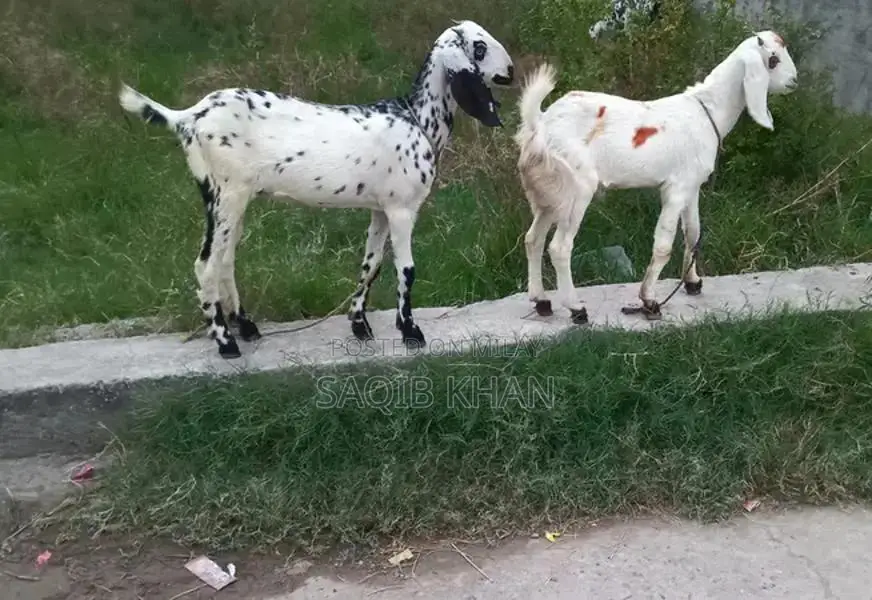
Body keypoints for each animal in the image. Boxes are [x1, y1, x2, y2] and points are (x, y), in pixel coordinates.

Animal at [118, 20, 514, 358]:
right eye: (479, 48)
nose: (510, 71)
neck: (416, 120)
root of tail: (188, 117)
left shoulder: (380, 208)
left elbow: (371, 263)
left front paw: (360, 324)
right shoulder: (403, 208)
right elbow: (406, 269)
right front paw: (411, 333)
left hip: (234, 201)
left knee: (225, 259)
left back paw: (246, 326)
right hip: (223, 196)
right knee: (206, 266)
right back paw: (226, 342)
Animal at [514, 31, 797, 322]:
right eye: (773, 59)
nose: (793, 81)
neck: (707, 111)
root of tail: (540, 124)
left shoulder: (691, 186)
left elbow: (693, 234)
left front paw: (692, 282)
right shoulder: (675, 188)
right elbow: (663, 245)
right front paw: (649, 300)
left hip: (547, 192)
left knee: (533, 239)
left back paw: (541, 300)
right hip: (576, 188)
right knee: (559, 247)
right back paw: (576, 308)